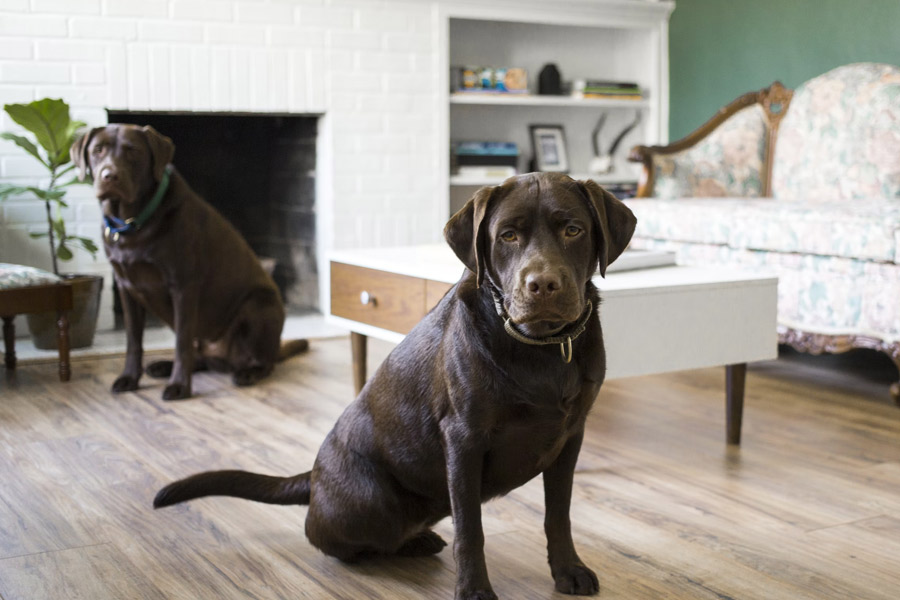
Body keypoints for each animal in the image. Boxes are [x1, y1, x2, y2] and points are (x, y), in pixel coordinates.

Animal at [71, 124, 310, 400]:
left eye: (133, 151)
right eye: (98, 150)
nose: (110, 176)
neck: (132, 223)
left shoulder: (183, 287)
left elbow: (181, 344)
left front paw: (179, 386)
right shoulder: (126, 288)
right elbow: (133, 341)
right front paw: (129, 378)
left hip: (258, 306)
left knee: (263, 362)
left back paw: (247, 373)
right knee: (201, 357)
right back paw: (163, 366)